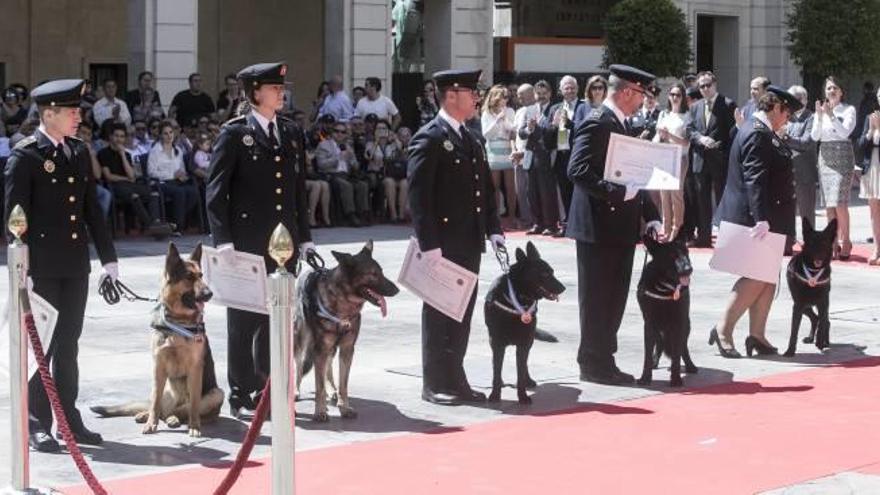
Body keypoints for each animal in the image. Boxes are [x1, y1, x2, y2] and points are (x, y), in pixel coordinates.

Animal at [90, 244, 222, 438]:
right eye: (189, 277)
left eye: (201, 275)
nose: (210, 294)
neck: (178, 322)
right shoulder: (158, 366)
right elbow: (154, 403)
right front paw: (150, 423)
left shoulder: (195, 369)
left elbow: (194, 404)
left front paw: (194, 426)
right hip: (162, 384)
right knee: (160, 408)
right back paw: (147, 415)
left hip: (217, 393)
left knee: (182, 411)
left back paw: (176, 419)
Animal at [296, 240, 398, 422]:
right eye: (373, 274)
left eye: (381, 272)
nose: (397, 290)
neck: (343, 304)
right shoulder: (320, 349)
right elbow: (319, 385)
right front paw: (320, 411)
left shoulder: (346, 349)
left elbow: (343, 384)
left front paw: (344, 407)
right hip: (302, 339)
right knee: (299, 363)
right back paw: (296, 390)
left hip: (330, 349)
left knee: (328, 368)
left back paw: (332, 391)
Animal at [484, 242, 568, 404]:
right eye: (544, 274)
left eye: (552, 272)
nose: (563, 288)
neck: (518, 296)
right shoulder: (497, 343)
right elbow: (496, 370)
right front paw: (495, 395)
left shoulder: (524, 343)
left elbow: (521, 372)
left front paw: (522, 396)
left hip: (528, 341)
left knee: (525, 365)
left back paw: (528, 380)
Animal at [636, 236, 696, 388]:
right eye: (672, 255)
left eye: (687, 253)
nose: (689, 269)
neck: (664, 287)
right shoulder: (649, 324)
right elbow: (647, 355)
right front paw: (645, 377)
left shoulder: (678, 324)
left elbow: (676, 356)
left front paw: (675, 379)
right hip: (658, 328)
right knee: (660, 344)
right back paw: (655, 361)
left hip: (686, 325)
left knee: (682, 348)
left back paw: (690, 365)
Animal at [784, 218, 840, 356]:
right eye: (812, 243)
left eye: (824, 243)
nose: (819, 256)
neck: (813, 272)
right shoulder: (798, 305)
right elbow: (794, 331)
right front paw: (790, 350)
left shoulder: (823, 303)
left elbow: (823, 323)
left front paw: (820, 342)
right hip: (803, 305)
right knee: (815, 318)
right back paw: (811, 338)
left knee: (825, 321)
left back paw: (825, 342)